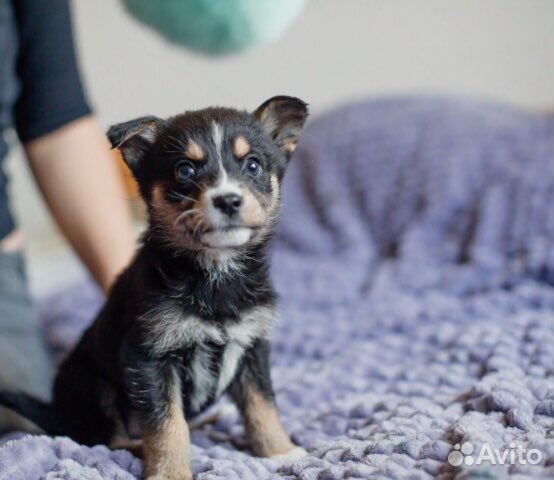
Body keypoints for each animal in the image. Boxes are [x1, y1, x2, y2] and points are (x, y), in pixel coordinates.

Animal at [0, 95, 306, 478]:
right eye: (184, 171)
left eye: (253, 166)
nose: (228, 200)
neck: (215, 275)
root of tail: (59, 415)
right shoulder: (149, 356)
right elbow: (167, 424)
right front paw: (170, 471)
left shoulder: (252, 346)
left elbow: (262, 405)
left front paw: (280, 451)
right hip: (92, 383)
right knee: (103, 438)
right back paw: (136, 446)